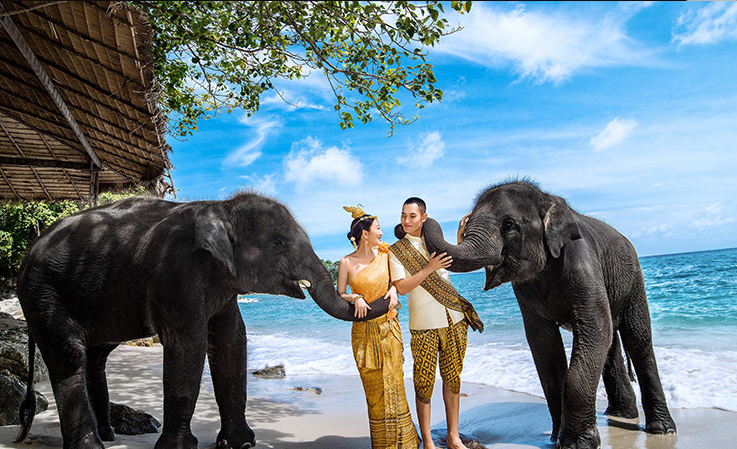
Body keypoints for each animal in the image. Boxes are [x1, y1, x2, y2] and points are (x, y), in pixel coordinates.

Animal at [14, 192, 388, 448]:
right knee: (69, 352)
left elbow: (231, 341)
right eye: (278, 242)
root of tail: (27, 253)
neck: (220, 205)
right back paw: (92, 446)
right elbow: (188, 343)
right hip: (43, 292)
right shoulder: (174, 274)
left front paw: (240, 443)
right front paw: (180, 448)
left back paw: (107, 435)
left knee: (95, 356)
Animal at [416, 180, 676, 446]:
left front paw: (576, 443)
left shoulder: (582, 263)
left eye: (509, 225)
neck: (548, 199)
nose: (422, 215)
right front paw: (556, 437)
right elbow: (544, 344)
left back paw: (662, 429)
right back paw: (622, 415)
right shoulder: (524, 291)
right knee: (611, 344)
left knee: (637, 339)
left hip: (634, 278)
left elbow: (594, 328)